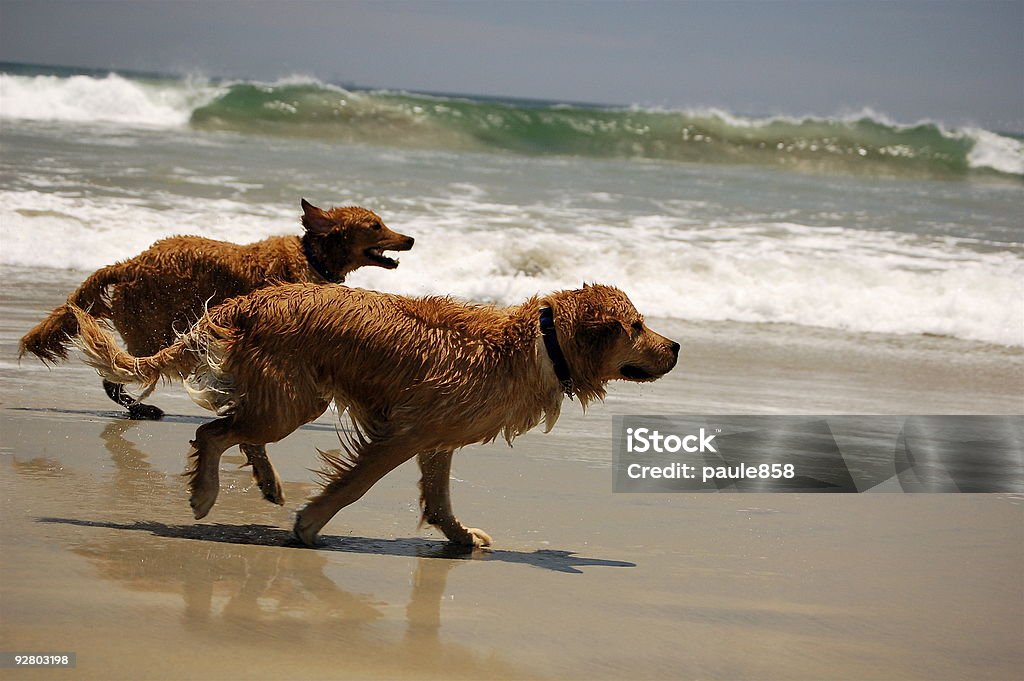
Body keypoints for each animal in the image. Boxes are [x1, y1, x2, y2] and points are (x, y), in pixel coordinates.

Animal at [20, 199, 411, 417]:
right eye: (375, 225)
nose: (409, 238)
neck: (312, 256)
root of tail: (128, 264)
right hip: (151, 332)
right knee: (120, 376)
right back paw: (142, 409)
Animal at [72, 282, 679, 548]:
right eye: (637, 326)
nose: (675, 347)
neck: (537, 344)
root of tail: (251, 299)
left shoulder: (438, 438)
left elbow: (440, 498)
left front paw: (458, 536)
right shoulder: (404, 432)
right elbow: (354, 485)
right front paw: (311, 524)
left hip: (291, 396)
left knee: (238, 430)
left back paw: (265, 482)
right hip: (294, 399)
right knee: (214, 430)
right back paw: (204, 493)